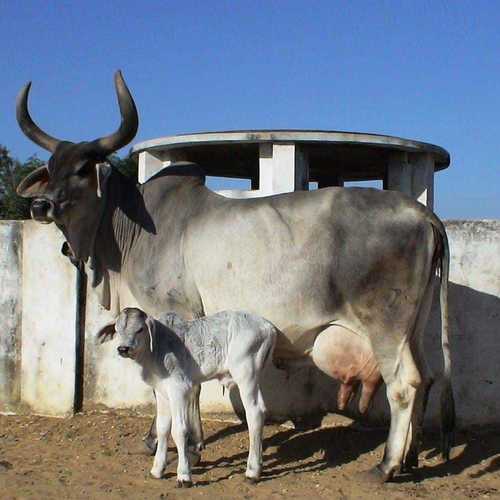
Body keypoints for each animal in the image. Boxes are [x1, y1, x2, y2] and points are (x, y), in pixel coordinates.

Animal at [96, 306, 278, 486]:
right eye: (117, 329)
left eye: (140, 329)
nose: (123, 349)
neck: (156, 349)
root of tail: (268, 326)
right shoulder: (162, 392)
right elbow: (163, 428)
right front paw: (157, 470)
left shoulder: (179, 389)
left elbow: (179, 430)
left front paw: (183, 475)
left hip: (246, 376)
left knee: (255, 412)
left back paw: (252, 472)